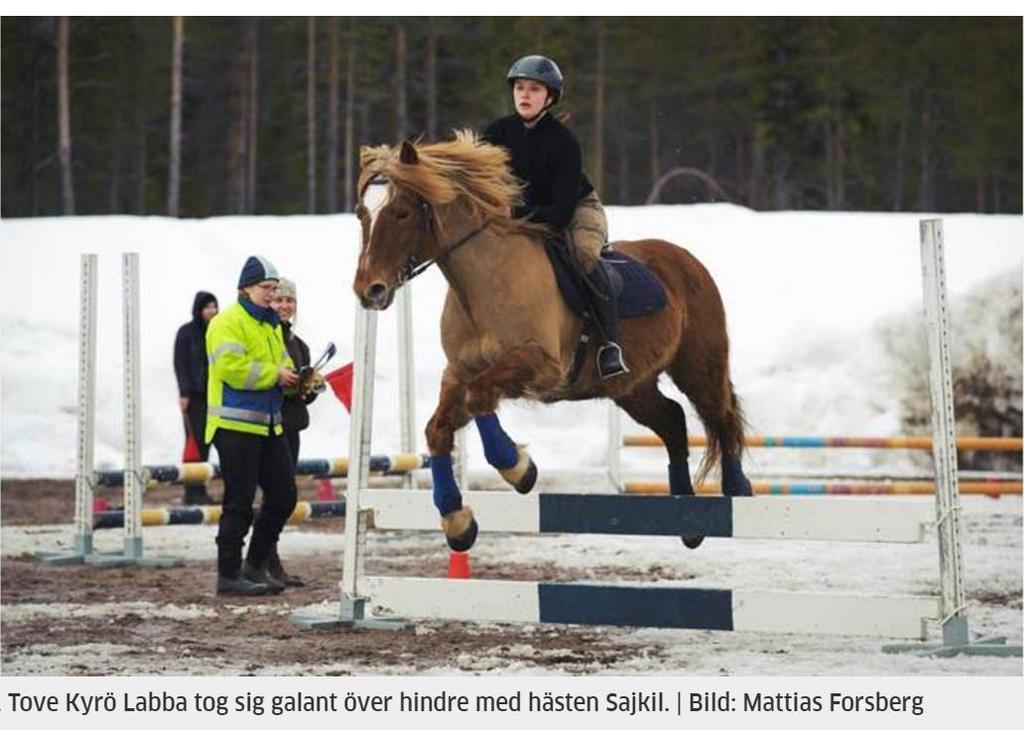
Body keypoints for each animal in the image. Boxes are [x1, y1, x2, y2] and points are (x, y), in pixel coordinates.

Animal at [352, 129, 753, 548]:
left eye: (402, 212)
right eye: (363, 213)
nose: (369, 290)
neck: (483, 283)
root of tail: (687, 259)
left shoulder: (542, 366)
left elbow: (479, 396)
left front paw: (519, 468)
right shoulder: (458, 372)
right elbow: (440, 427)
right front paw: (458, 521)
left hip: (698, 366)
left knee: (722, 416)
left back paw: (737, 489)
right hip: (631, 388)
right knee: (673, 421)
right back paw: (686, 517)